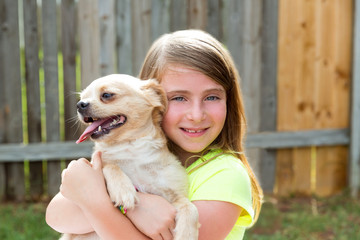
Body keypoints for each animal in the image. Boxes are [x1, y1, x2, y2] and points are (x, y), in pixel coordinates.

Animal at [60, 74, 198, 240]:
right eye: (82, 98)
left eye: (107, 95)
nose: (80, 104)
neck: (132, 150)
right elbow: (111, 166)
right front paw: (123, 190)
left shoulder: (175, 194)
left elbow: (190, 207)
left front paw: (187, 233)